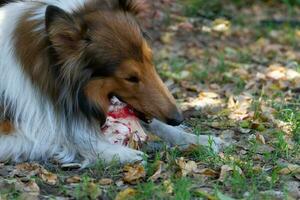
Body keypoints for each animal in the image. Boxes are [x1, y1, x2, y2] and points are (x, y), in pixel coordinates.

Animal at [0, 0, 223, 165]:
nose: (177, 118)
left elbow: (160, 126)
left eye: (151, 61)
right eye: (130, 78)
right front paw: (121, 153)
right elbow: (63, 136)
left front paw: (199, 139)